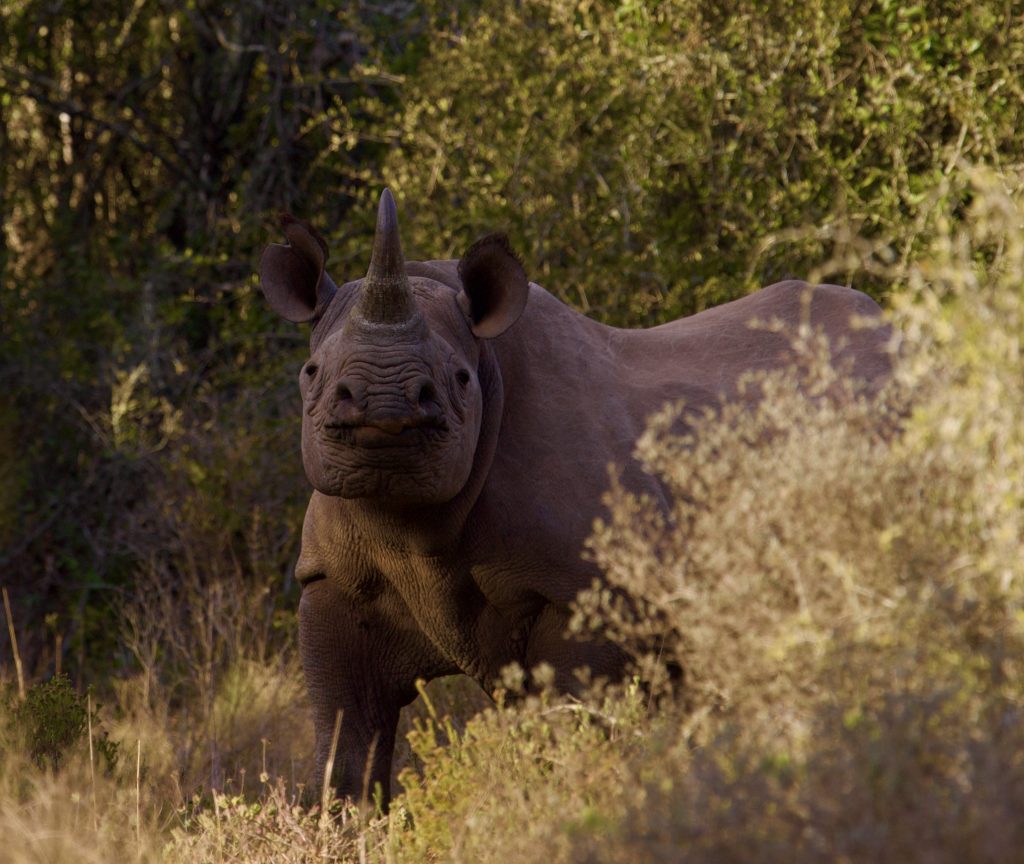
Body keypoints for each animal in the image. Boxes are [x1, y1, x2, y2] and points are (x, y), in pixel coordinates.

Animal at [258, 189, 891, 806]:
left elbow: (571, 728)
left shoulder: (586, 590)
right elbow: (348, 743)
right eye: (311, 372)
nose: (385, 405)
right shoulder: (334, 577)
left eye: (460, 379)